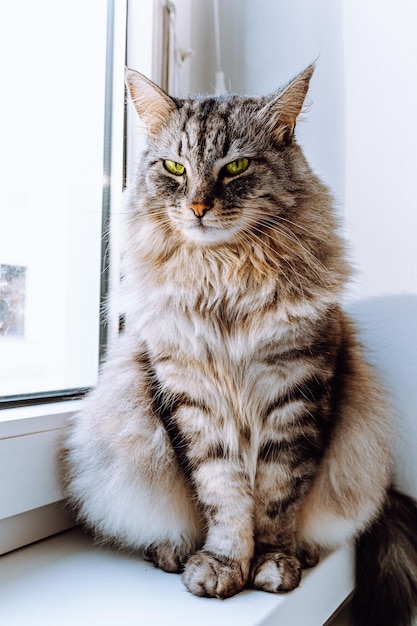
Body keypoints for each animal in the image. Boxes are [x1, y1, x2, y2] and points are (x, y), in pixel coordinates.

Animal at [61, 64, 416, 624]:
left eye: (237, 167)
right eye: (175, 167)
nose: (198, 206)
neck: (226, 279)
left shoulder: (295, 392)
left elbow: (276, 498)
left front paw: (272, 563)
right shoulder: (191, 397)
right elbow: (223, 495)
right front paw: (224, 565)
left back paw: (302, 554)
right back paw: (174, 551)